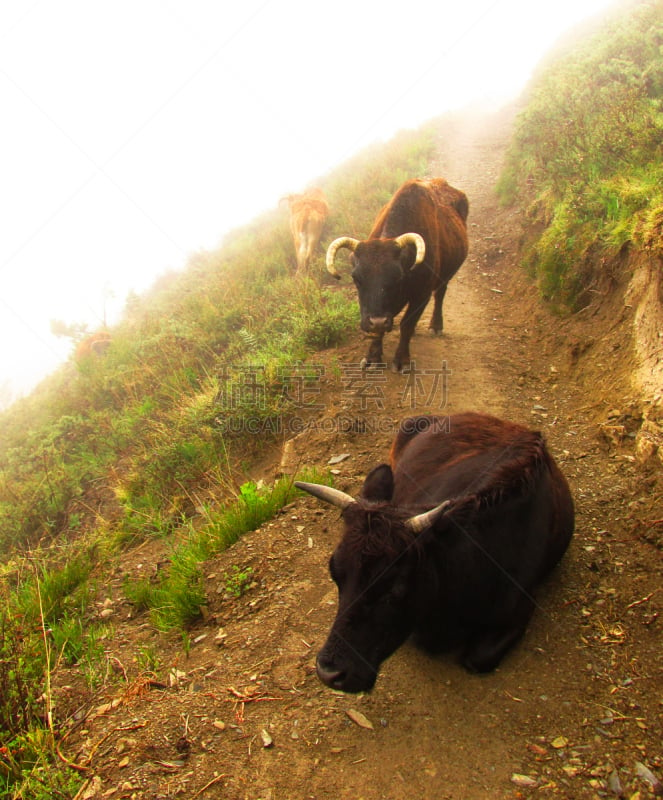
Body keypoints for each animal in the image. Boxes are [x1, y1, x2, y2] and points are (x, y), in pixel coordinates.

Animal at [326, 178, 466, 372]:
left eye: (398, 277)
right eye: (356, 278)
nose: (378, 321)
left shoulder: (422, 295)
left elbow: (407, 324)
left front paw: (402, 359)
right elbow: (378, 333)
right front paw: (373, 357)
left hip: (445, 276)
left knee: (440, 295)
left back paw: (436, 325)